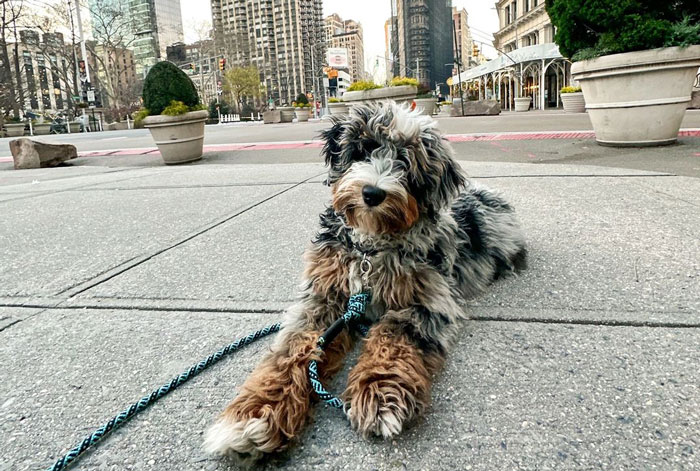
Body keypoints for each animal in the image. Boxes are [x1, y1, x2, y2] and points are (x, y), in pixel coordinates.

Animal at [202, 101, 524, 460]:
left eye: (406, 162)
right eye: (363, 150)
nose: (372, 193)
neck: (370, 247)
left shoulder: (426, 299)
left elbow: (392, 339)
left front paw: (380, 394)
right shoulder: (323, 297)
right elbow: (293, 349)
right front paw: (255, 414)